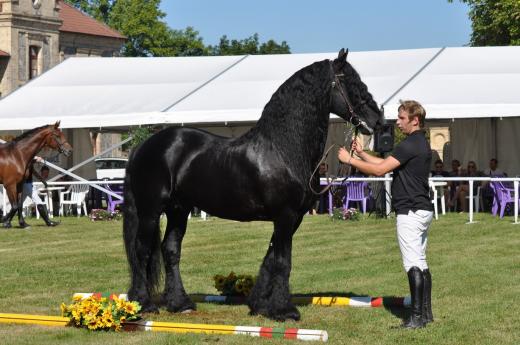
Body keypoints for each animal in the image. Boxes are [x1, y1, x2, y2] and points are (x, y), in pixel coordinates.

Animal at [122, 48, 382, 320]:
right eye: (350, 83)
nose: (377, 119)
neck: (282, 148)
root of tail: (144, 146)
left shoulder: (293, 218)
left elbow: (270, 258)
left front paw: (260, 305)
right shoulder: (285, 215)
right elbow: (283, 262)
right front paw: (285, 310)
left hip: (178, 210)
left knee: (170, 250)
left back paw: (179, 303)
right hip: (151, 210)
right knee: (141, 250)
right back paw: (143, 303)